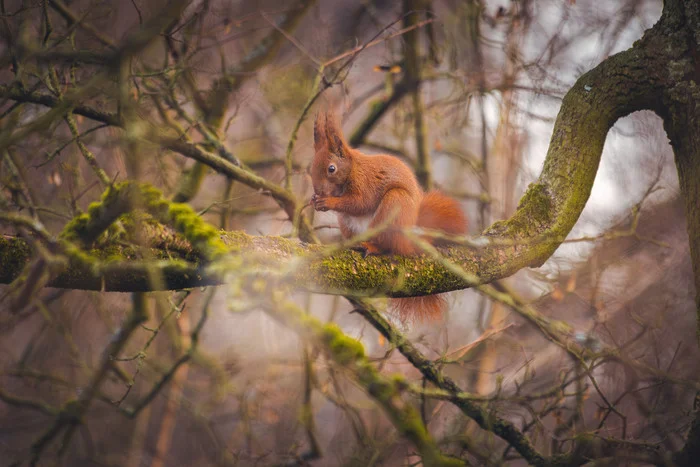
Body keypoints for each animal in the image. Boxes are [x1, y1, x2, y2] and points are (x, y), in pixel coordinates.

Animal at [310, 112, 468, 321]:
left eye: (331, 168)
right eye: (310, 168)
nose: (318, 191)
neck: (352, 167)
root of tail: (408, 241)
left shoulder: (364, 182)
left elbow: (360, 202)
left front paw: (328, 202)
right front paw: (314, 200)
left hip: (393, 205)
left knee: (387, 246)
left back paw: (372, 246)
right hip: (347, 223)